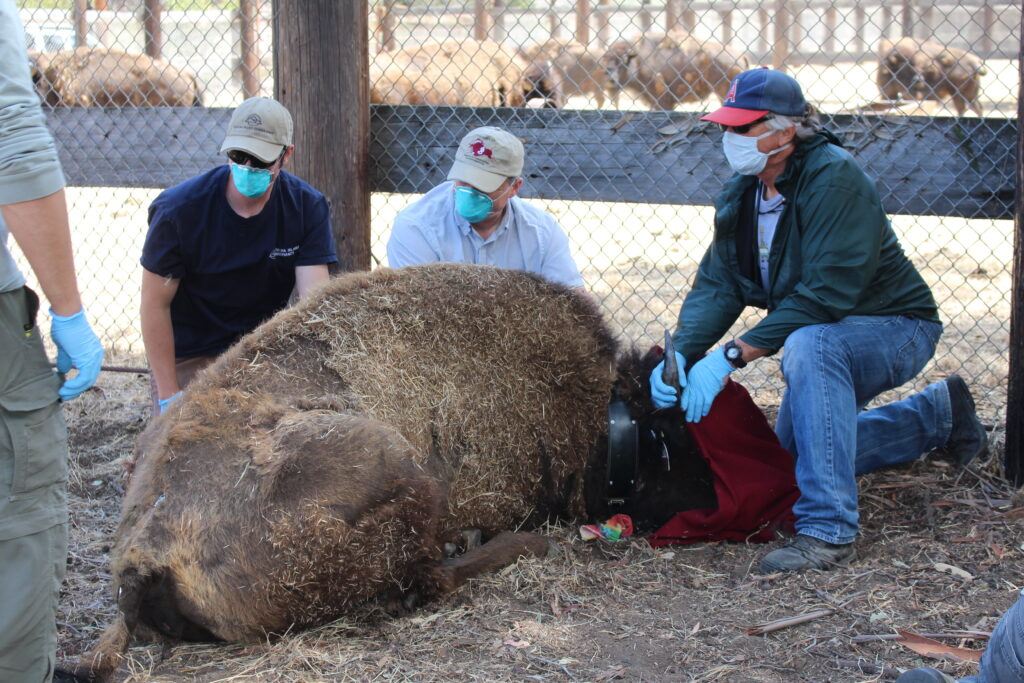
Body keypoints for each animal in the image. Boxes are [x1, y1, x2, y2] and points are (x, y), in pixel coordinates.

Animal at [68, 264, 716, 679]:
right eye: (670, 436)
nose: (713, 499)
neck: (586, 402)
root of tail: (141, 554)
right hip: (399, 465)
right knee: (429, 579)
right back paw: (511, 543)